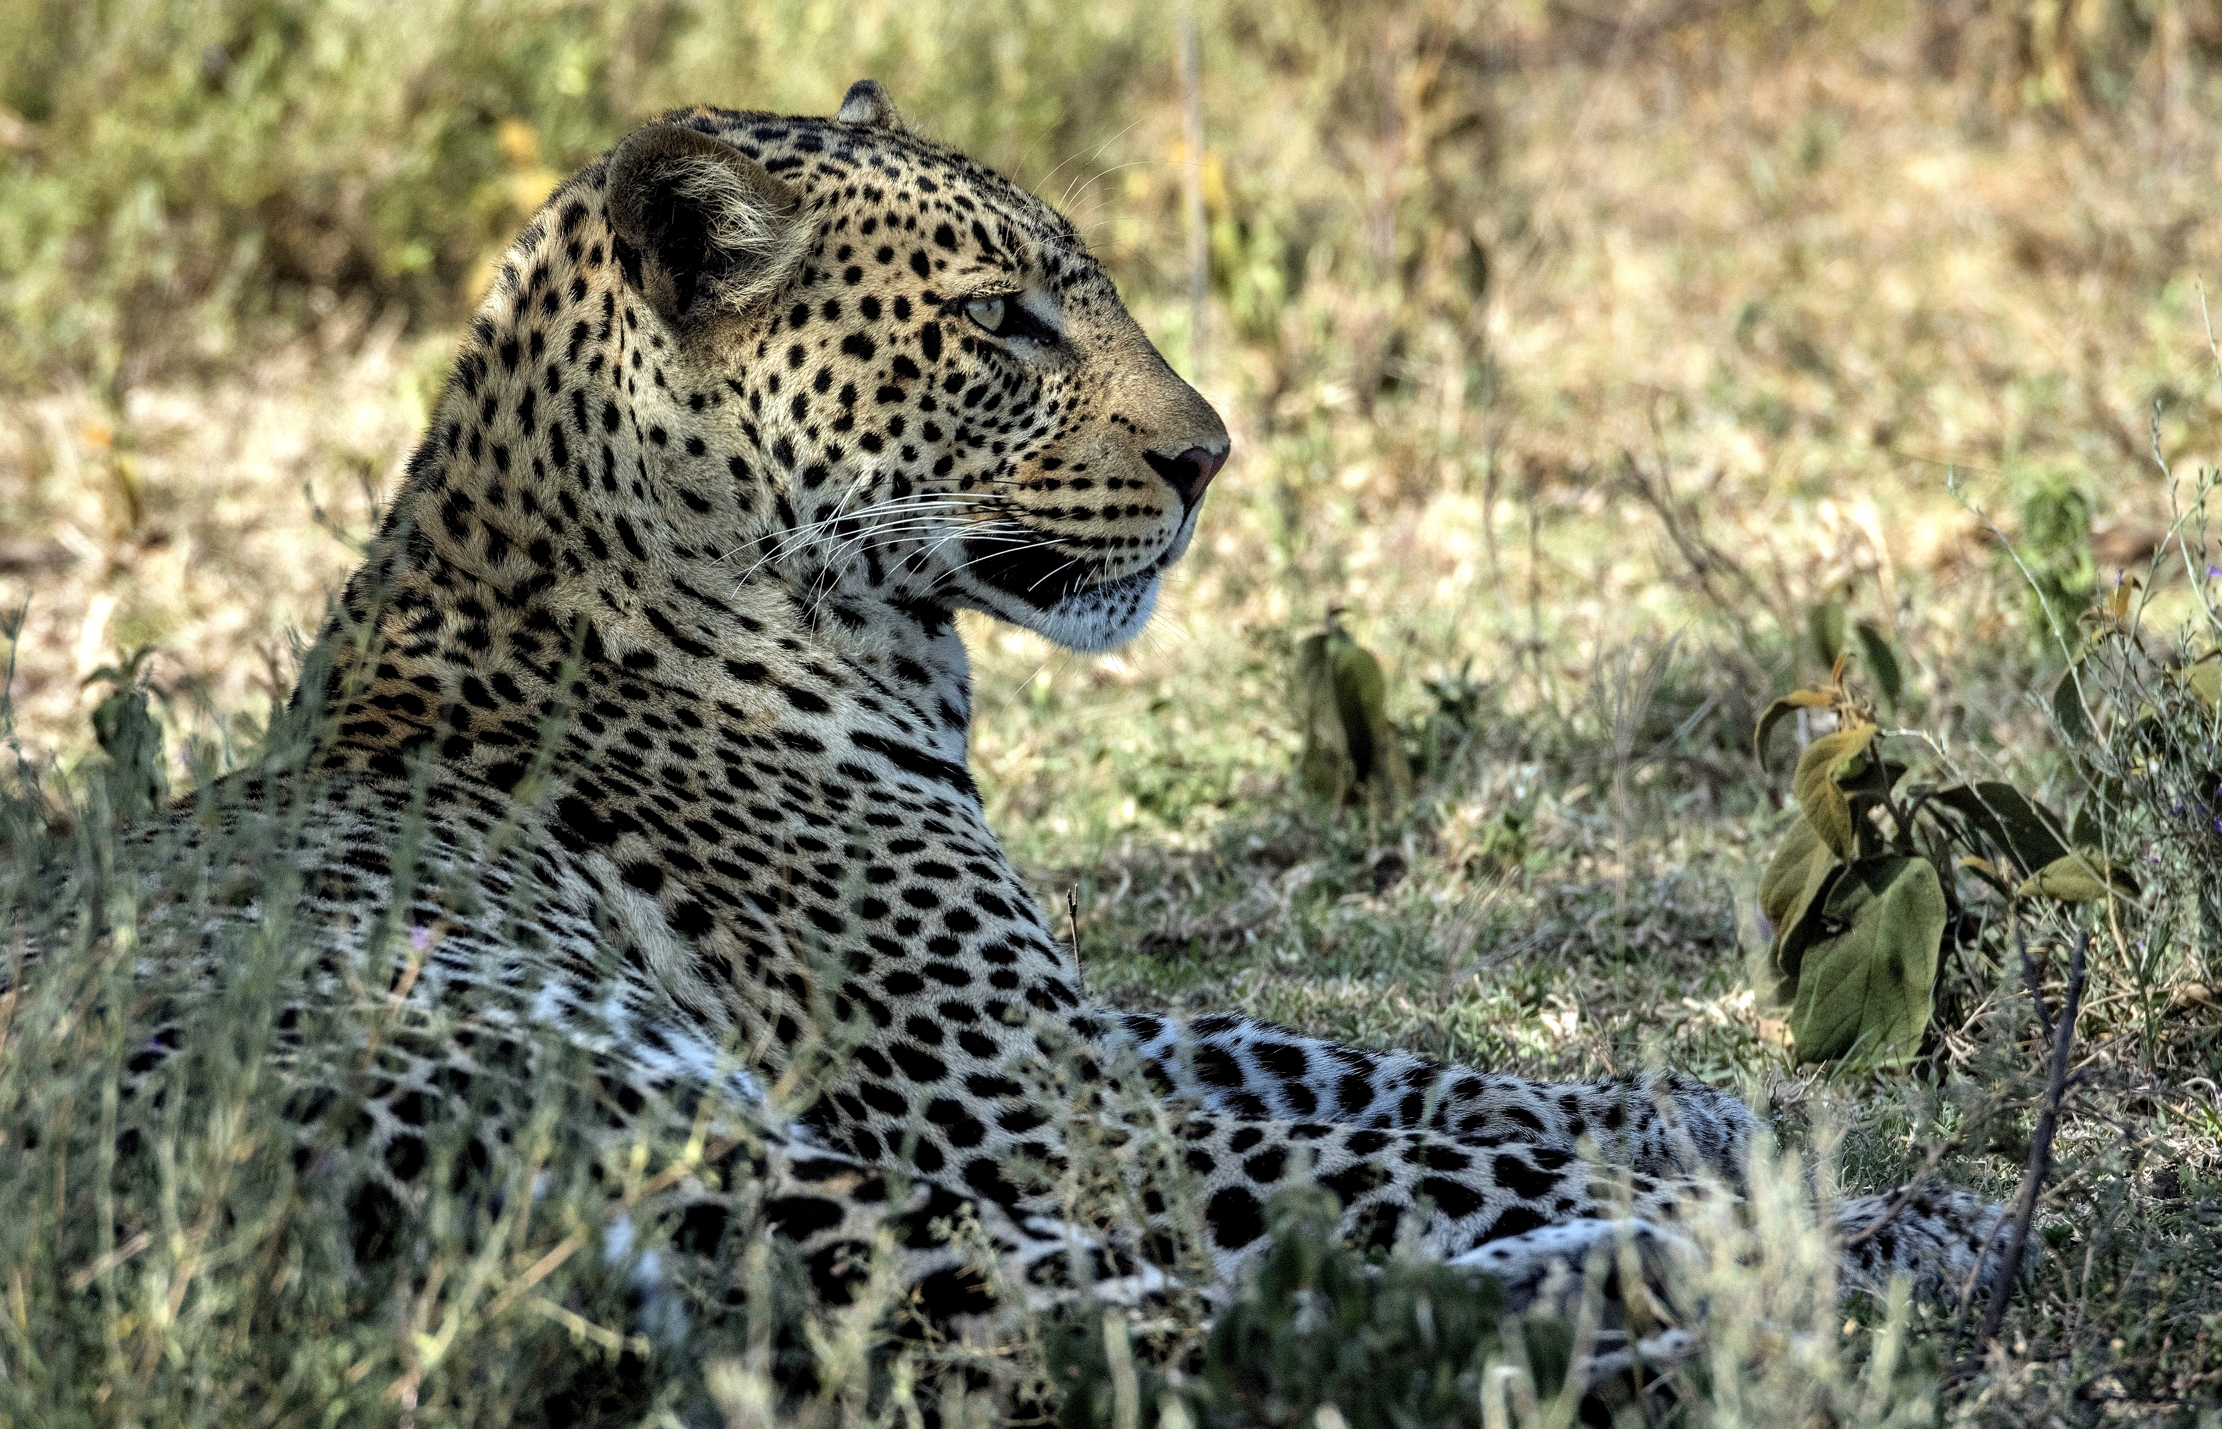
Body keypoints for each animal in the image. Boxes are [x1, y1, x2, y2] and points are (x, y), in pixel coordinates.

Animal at [66, 78, 2013, 1399]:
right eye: (997, 318)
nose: (1209, 454)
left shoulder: (1065, 1029)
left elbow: (1367, 1065)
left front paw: (1703, 1107)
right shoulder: (1021, 1100)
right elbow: (1394, 1156)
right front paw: (1788, 1174)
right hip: (697, 1147)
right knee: (1236, 1338)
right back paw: (1838, 1254)